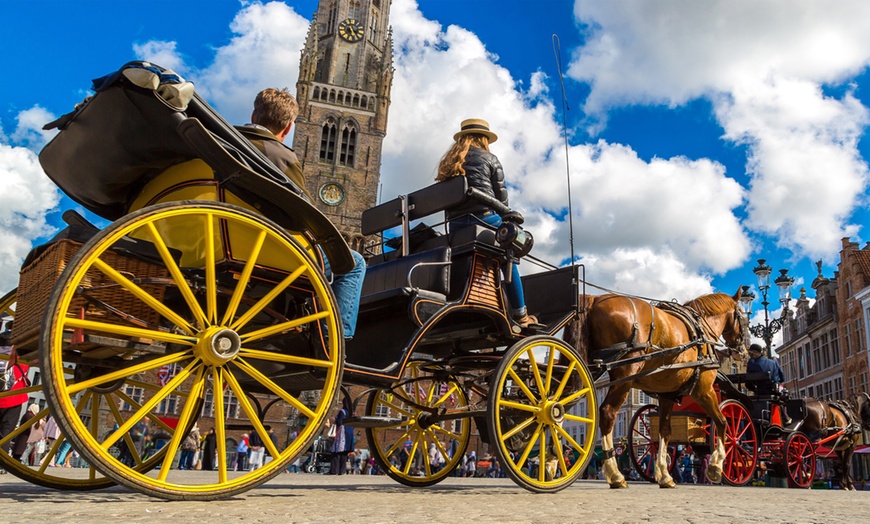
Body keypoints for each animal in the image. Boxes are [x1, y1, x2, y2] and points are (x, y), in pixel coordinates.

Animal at [564, 290, 748, 488]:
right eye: (744, 320)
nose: (743, 353)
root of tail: (594, 299)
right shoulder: (704, 390)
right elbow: (723, 423)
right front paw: (716, 468)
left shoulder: (667, 395)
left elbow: (664, 432)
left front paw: (664, 476)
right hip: (624, 374)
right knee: (607, 413)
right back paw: (616, 476)